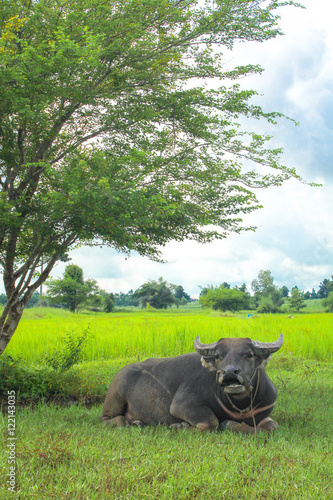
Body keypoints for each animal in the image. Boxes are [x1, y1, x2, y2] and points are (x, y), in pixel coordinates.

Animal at [101, 332, 282, 434]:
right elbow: (211, 422)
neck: (239, 405)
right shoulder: (181, 406)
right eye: (218, 355)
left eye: (249, 354)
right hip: (115, 397)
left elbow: (272, 426)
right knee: (108, 419)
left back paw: (137, 422)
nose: (230, 372)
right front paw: (180, 426)